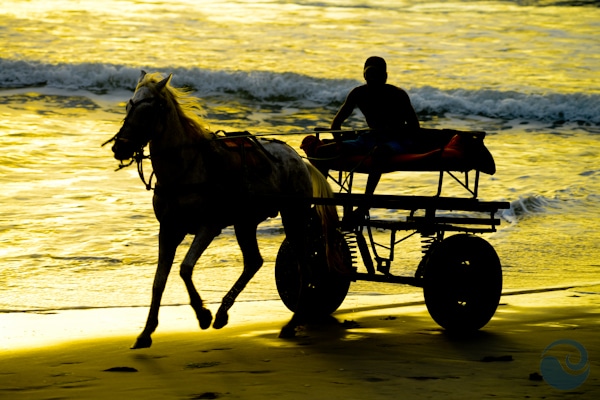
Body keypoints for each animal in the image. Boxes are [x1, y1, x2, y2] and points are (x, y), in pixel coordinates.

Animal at [103, 72, 342, 350]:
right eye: (129, 106)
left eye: (148, 110)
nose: (120, 148)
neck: (186, 169)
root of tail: (299, 159)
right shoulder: (169, 229)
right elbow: (159, 280)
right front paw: (147, 332)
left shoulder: (208, 226)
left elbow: (185, 268)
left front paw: (202, 314)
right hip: (245, 222)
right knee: (254, 261)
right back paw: (223, 312)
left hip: (294, 215)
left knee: (303, 265)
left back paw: (292, 322)